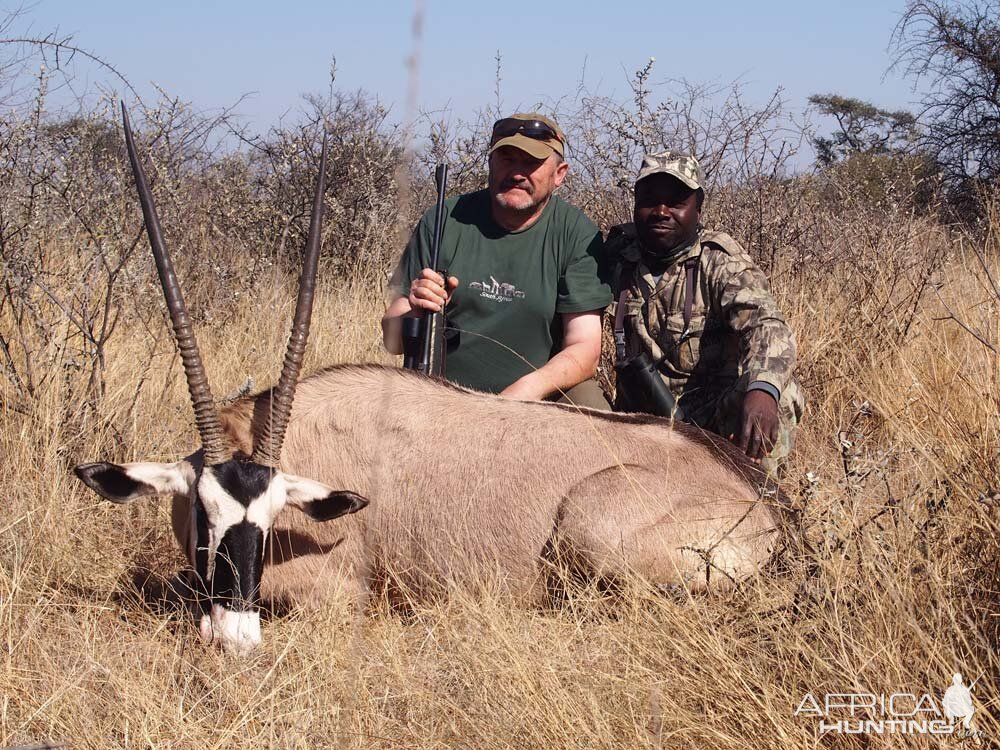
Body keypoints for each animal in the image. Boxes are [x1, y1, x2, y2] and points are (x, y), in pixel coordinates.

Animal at [74, 107, 784, 656]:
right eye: (202, 512)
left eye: (274, 521)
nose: (236, 638)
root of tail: (765, 505)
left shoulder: (334, 596)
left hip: (591, 525)